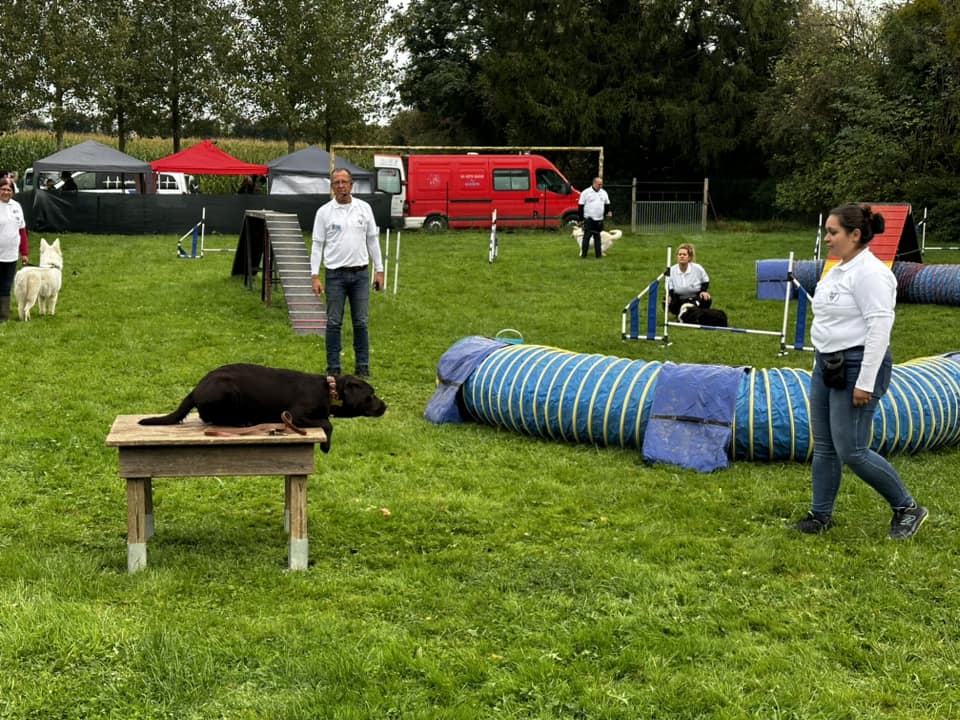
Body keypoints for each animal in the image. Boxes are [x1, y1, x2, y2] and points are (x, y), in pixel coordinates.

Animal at [139, 366, 386, 450]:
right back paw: (242, 422)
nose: (385, 406)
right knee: (212, 419)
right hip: (226, 389)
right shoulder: (296, 415)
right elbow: (327, 423)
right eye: (371, 395)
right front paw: (326, 446)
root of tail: (195, 389)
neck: (329, 390)